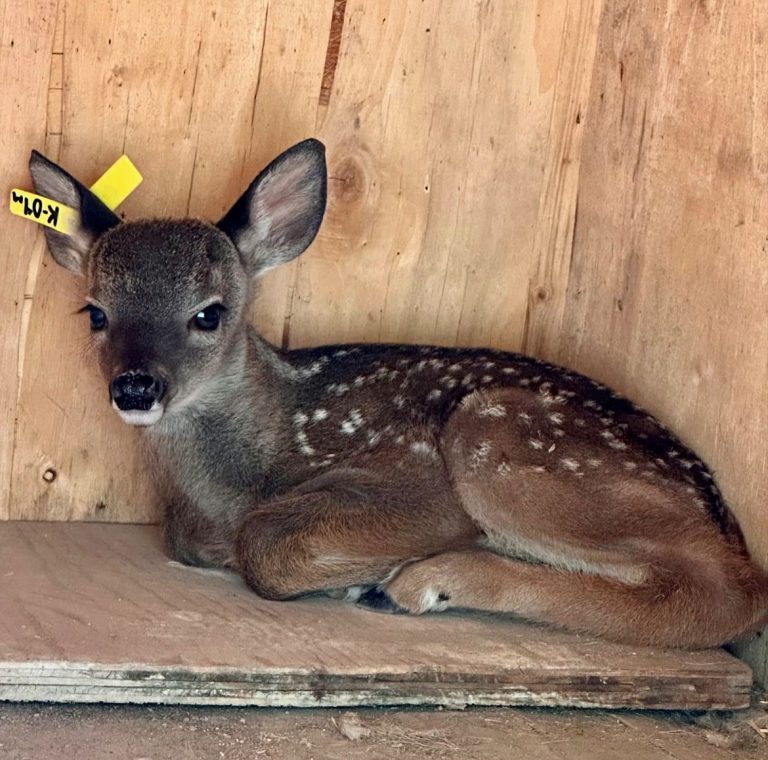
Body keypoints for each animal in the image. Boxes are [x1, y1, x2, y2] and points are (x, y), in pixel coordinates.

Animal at [33, 138, 768, 648]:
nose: (135, 386)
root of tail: (721, 514)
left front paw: (357, 572)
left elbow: (266, 540)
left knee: (728, 595)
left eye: (209, 314)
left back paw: (420, 583)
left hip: (502, 437)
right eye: (95, 313)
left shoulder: (412, 470)